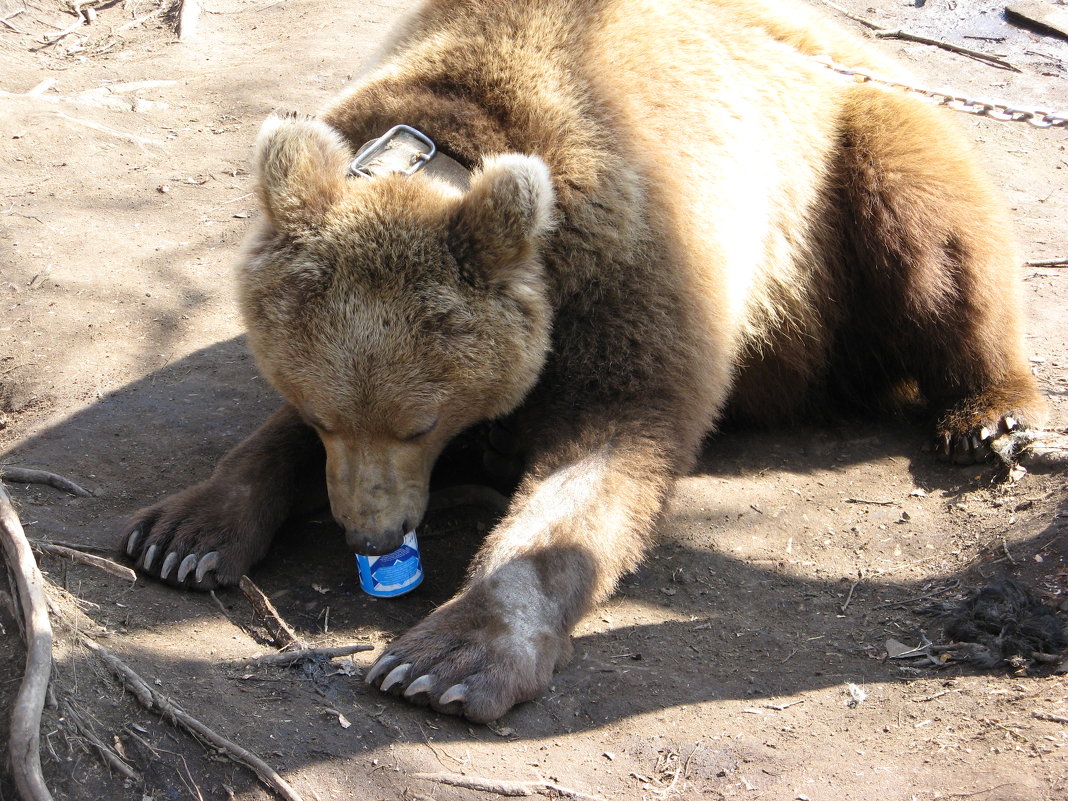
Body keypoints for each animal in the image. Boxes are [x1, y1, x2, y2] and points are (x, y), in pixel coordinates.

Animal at [119, 0, 1042, 726]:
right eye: (321, 415)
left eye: (418, 422)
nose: (370, 533)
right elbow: (264, 444)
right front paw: (184, 535)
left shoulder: (632, 270)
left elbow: (601, 458)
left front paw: (447, 659)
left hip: (847, 173)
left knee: (937, 235)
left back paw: (990, 411)